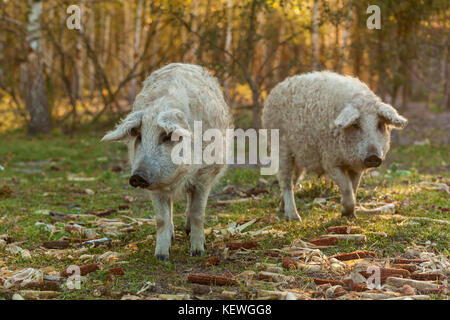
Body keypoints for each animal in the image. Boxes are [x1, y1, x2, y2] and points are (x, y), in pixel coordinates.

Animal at [103, 63, 234, 260]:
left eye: (166, 136)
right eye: (139, 137)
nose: (137, 176)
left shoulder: (205, 175)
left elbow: (198, 212)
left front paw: (197, 252)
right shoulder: (155, 186)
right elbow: (161, 219)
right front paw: (161, 256)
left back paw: (188, 231)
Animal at [264, 71, 408, 221]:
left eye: (379, 124)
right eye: (356, 125)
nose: (373, 156)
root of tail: (275, 90)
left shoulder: (356, 167)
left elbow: (353, 188)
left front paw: (350, 216)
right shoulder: (330, 161)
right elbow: (346, 187)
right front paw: (346, 214)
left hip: (298, 157)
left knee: (292, 180)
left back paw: (282, 210)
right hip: (281, 149)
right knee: (285, 181)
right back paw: (295, 218)